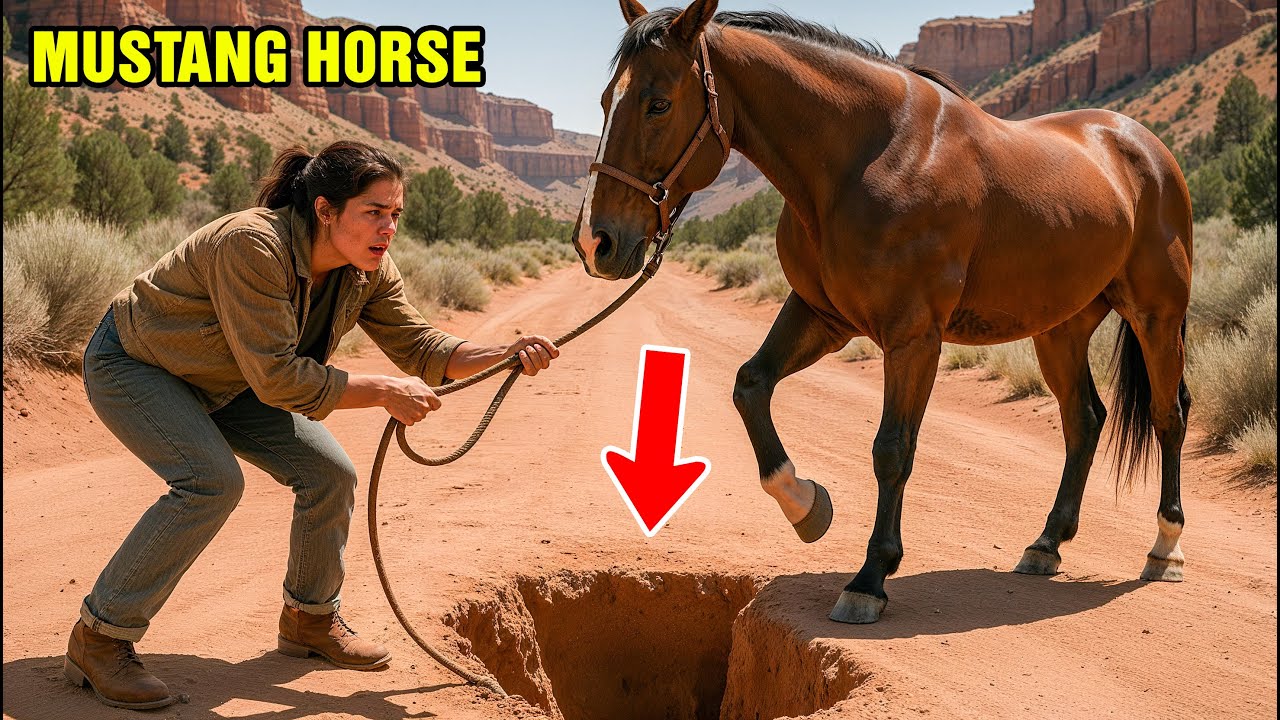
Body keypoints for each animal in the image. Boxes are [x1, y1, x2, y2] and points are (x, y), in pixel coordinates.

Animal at [571, 0, 1193, 624]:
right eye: (603, 101)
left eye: (658, 102)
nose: (597, 242)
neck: (869, 158)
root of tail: (1145, 147)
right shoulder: (821, 316)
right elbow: (750, 386)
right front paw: (807, 505)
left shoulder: (913, 336)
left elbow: (892, 449)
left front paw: (870, 578)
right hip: (1060, 330)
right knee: (1084, 420)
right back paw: (1046, 544)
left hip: (1156, 317)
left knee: (1168, 415)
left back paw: (1165, 549)